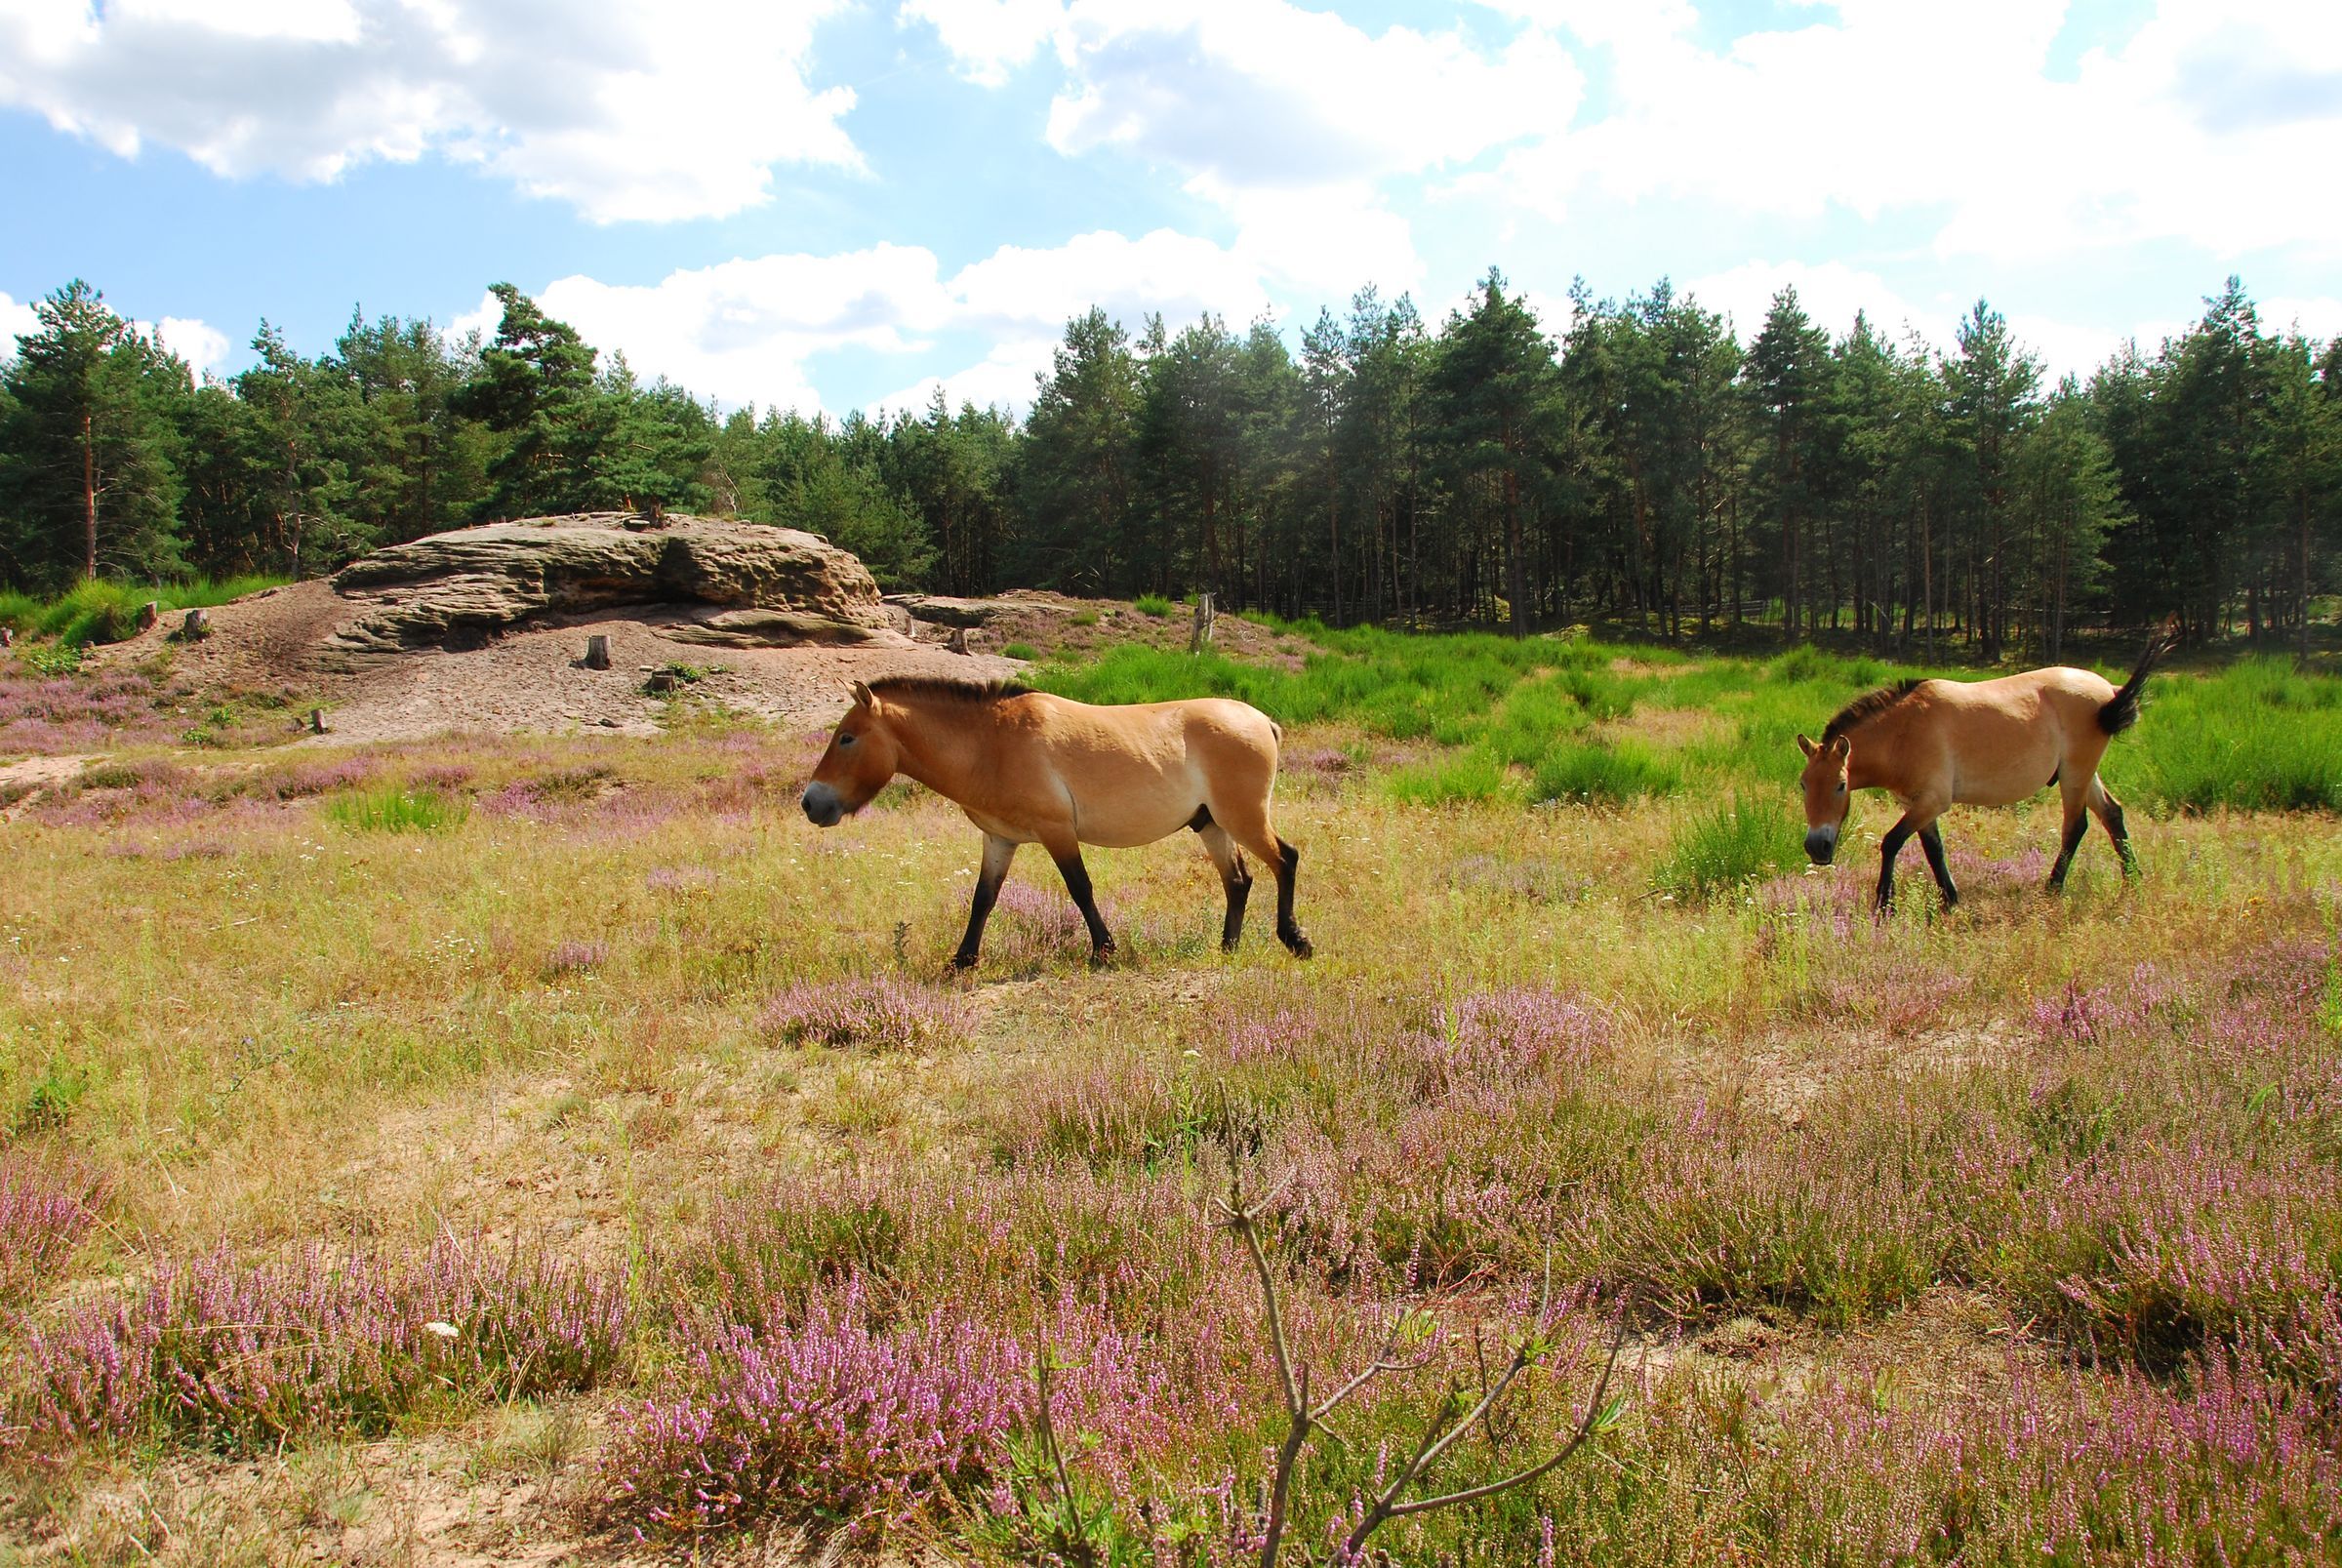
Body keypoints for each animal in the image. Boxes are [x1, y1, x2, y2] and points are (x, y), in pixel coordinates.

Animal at [800, 676, 1313, 969]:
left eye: (846, 738)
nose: (810, 804)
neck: (991, 744)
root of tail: (1263, 721)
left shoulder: (1056, 832)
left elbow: (1080, 889)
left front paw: (1103, 951)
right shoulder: (999, 840)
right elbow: (983, 900)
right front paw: (963, 960)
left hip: (1243, 818)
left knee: (1285, 860)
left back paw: (1295, 941)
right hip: (1211, 824)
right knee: (1239, 880)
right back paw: (1227, 949)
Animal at [1796, 627, 2178, 910]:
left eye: (1841, 785)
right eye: (1803, 785)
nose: (1818, 848)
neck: (1904, 731)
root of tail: (2109, 689)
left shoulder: (1932, 800)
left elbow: (1891, 843)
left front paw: (1884, 904)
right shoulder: (1916, 803)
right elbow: (1934, 850)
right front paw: (1950, 900)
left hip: (2075, 774)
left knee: (2076, 827)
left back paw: (2052, 889)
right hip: (2085, 774)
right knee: (2112, 815)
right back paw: (2132, 882)